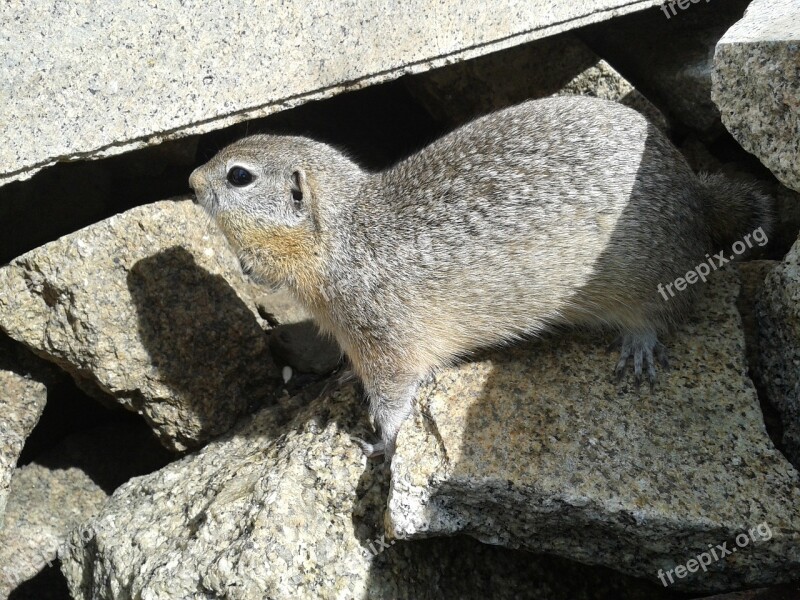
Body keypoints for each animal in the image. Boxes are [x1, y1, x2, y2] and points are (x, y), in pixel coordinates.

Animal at [191, 95, 772, 460]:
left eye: (239, 175)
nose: (192, 180)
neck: (347, 235)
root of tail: (698, 196)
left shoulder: (384, 338)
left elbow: (393, 397)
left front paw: (378, 442)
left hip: (654, 276)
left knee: (664, 312)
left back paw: (640, 347)